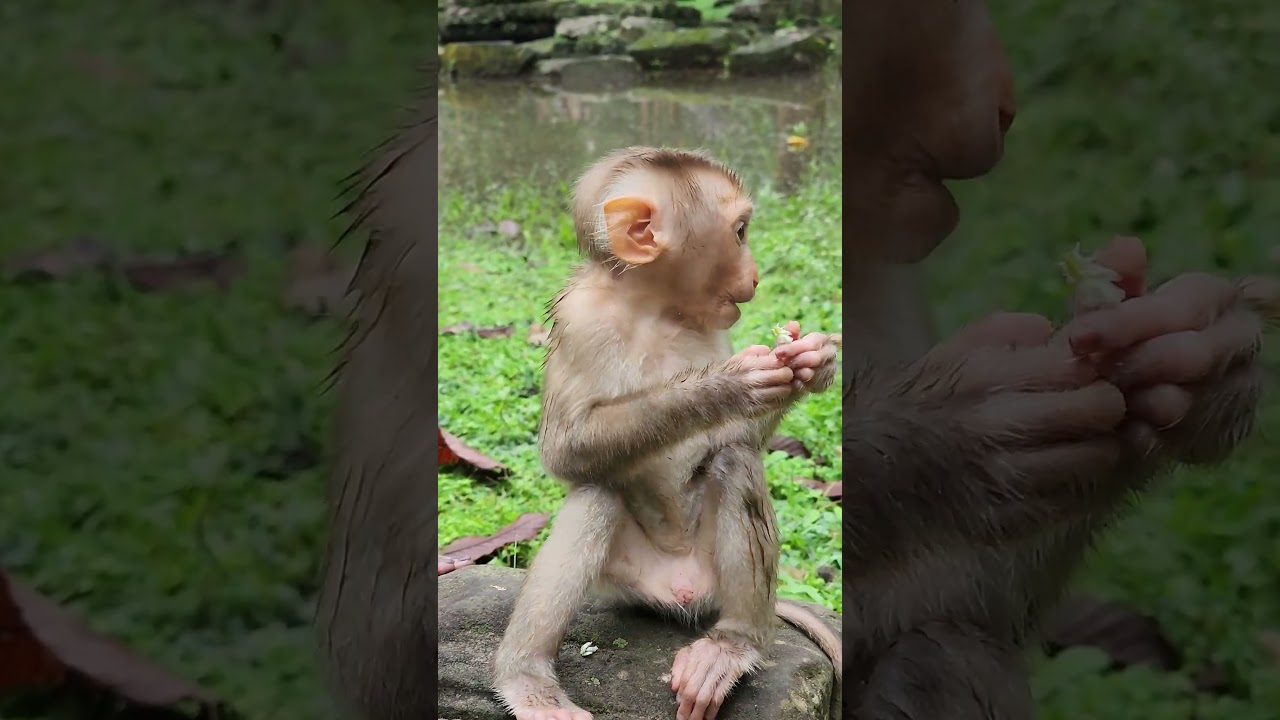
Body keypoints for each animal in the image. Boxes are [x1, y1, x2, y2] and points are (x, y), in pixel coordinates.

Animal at [492, 146, 843, 720]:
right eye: (741, 231)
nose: (756, 275)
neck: (654, 309)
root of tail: (682, 592)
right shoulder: (581, 319)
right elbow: (563, 449)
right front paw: (727, 386)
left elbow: (739, 440)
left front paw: (813, 362)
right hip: (622, 582)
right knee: (596, 495)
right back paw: (527, 680)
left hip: (710, 576)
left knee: (735, 461)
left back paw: (732, 645)